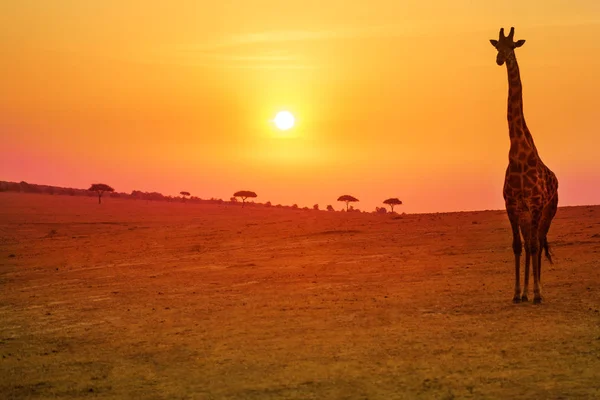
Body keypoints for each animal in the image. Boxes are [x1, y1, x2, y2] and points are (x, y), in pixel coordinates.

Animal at [490, 27, 560, 304]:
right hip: (526, 215)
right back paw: (526, 292)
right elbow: (517, 246)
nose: (501, 59)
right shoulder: (512, 205)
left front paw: (537, 292)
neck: (519, 153)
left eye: (513, 46)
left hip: (548, 210)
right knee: (530, 244)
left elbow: (532, 246)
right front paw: (517, 292)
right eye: (497, 46)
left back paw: (537, 291)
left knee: (538, 243)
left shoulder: (537, 204)